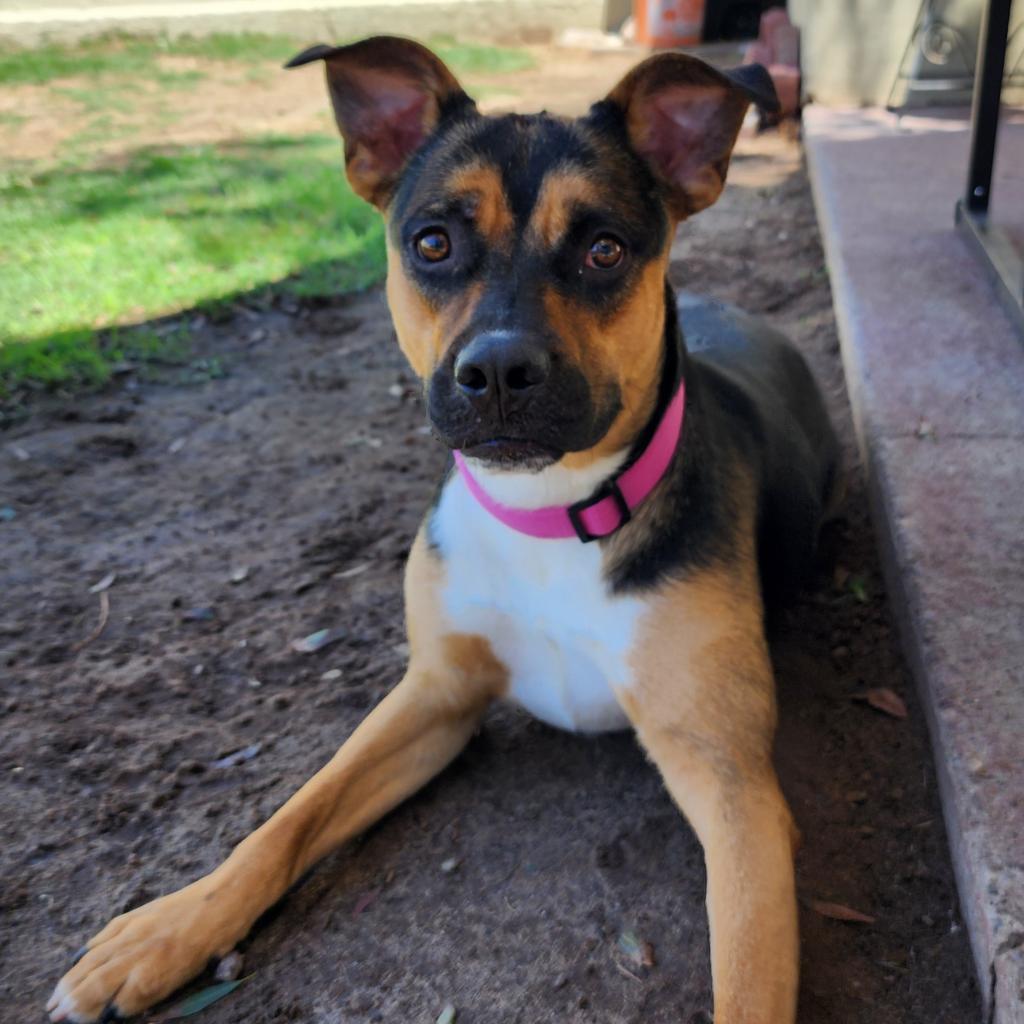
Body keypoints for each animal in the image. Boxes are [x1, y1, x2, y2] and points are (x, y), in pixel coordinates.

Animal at [48, 37, 839, 1024]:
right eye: (432, 242)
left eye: (604, 249)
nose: (498, 369)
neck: (553, 515)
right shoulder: (435, 694)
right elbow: (289, 818)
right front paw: (168, 928)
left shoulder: (733, 786)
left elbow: (748, 982)